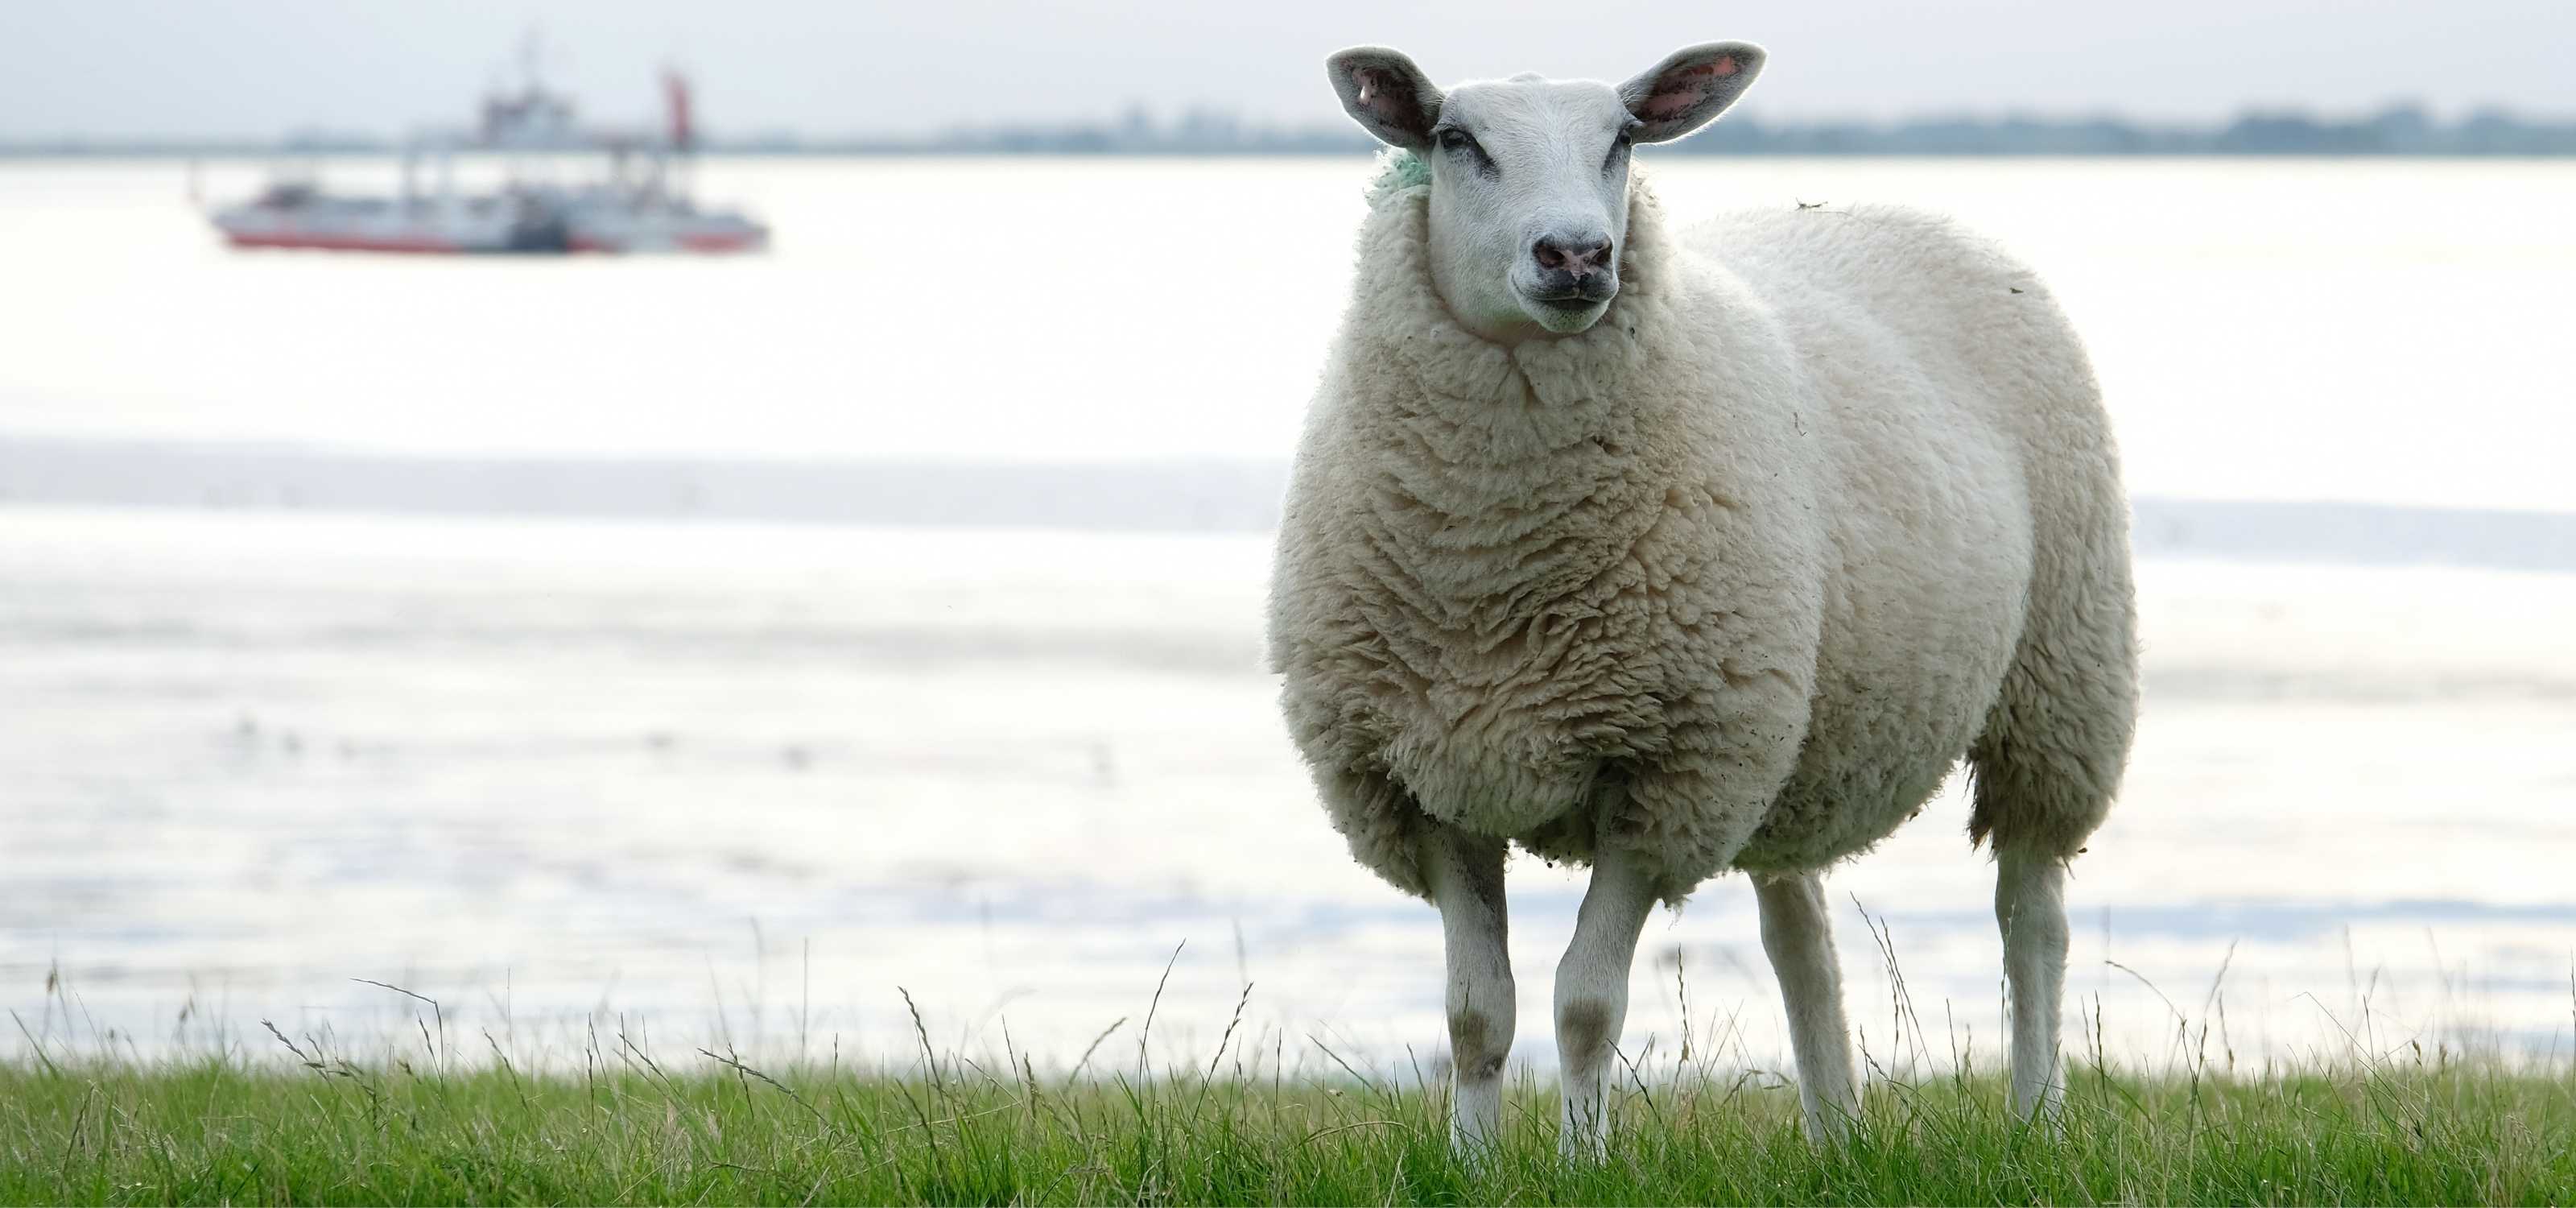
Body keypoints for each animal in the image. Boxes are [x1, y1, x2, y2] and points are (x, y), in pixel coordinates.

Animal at [1262, 42, 2132, 1159]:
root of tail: (1881, 206)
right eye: (1457, 141)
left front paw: (1580, 1166)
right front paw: (1470, 1166)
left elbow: (1585, 1005)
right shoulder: (1424, 780)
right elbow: (1474, 1014)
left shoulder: (1662, 778)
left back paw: (2035, 1121)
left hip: (2058, 684)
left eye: (1621, 140)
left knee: (2031, 915)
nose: (1577, 256)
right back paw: (1834, 1136)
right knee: (1799, 933)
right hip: (1785, 726)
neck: (1490, 564)